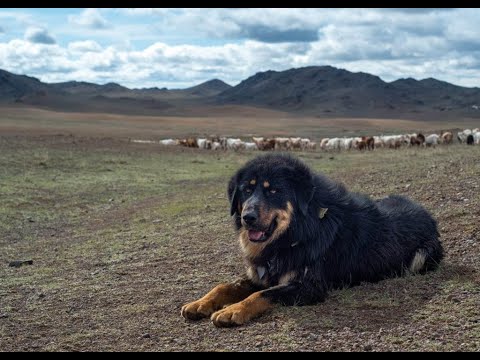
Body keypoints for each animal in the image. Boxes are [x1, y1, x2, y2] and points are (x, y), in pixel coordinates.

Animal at [182, 153, 444, 328]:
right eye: (247, 190)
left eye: (273, 191)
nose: (248, 217)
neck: (296, 234)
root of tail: (427, 214)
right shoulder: (262, 273)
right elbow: (225, 286)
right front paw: (200, 303)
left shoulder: (309, 287)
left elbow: (263, 294)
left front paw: (233, 309)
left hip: (422, 257)